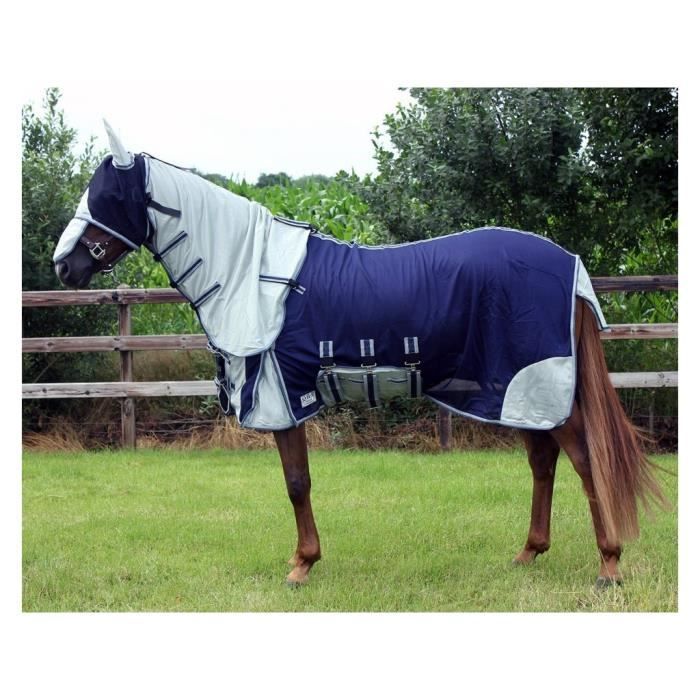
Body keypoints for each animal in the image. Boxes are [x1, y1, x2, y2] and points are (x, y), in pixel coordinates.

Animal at [53, 121, 667, 588]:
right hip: (516, 391)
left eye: (106, 198)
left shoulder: (285, 396)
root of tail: (569, 263)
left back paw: (609, 565)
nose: (64, 265)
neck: (252, 273)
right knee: (543, 461)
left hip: (538, 384)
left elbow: (296, 483)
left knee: (585, 460)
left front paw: (301, 566)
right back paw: (529, 552)